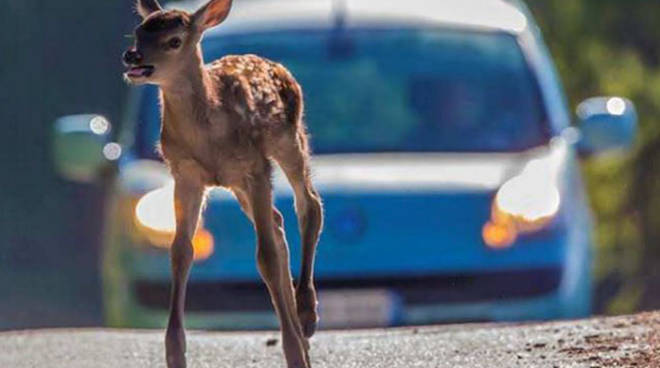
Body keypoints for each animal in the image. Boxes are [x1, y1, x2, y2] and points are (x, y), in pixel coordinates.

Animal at [122, 0, 324, 368]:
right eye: (139, 31)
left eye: (174, 40)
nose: (132, 57)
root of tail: (273, 63)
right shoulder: (185, 173)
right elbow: (181, 252)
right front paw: (174, 352)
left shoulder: (254, 167)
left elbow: (265, 257)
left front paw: (292, 350)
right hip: (239, 184)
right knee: (278, 221)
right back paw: (301, 332)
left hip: (288, 140)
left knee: (308, 205)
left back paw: (306, 315)